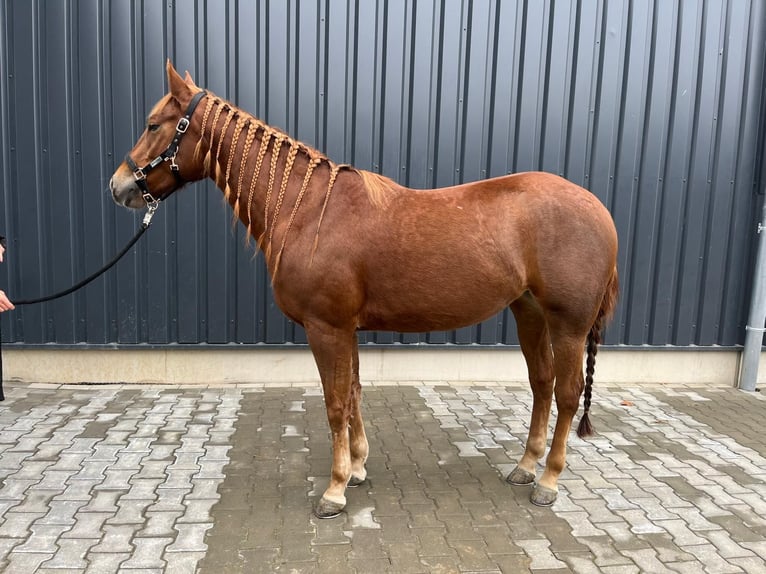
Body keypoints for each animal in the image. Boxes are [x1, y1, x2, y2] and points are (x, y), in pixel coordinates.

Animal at [111, 62, 620, 516]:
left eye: (154, 124)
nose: (119, 187)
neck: (308, 210)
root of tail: (599, 210)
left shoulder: (326, 328)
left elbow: (336, 403)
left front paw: (334, 490)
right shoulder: (346, 328)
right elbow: (353, 392)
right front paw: (356, 467)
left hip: (569, 324)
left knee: (568, 392)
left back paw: (548, 480)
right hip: (528, 311)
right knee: (542, 383)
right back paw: (525, 466)